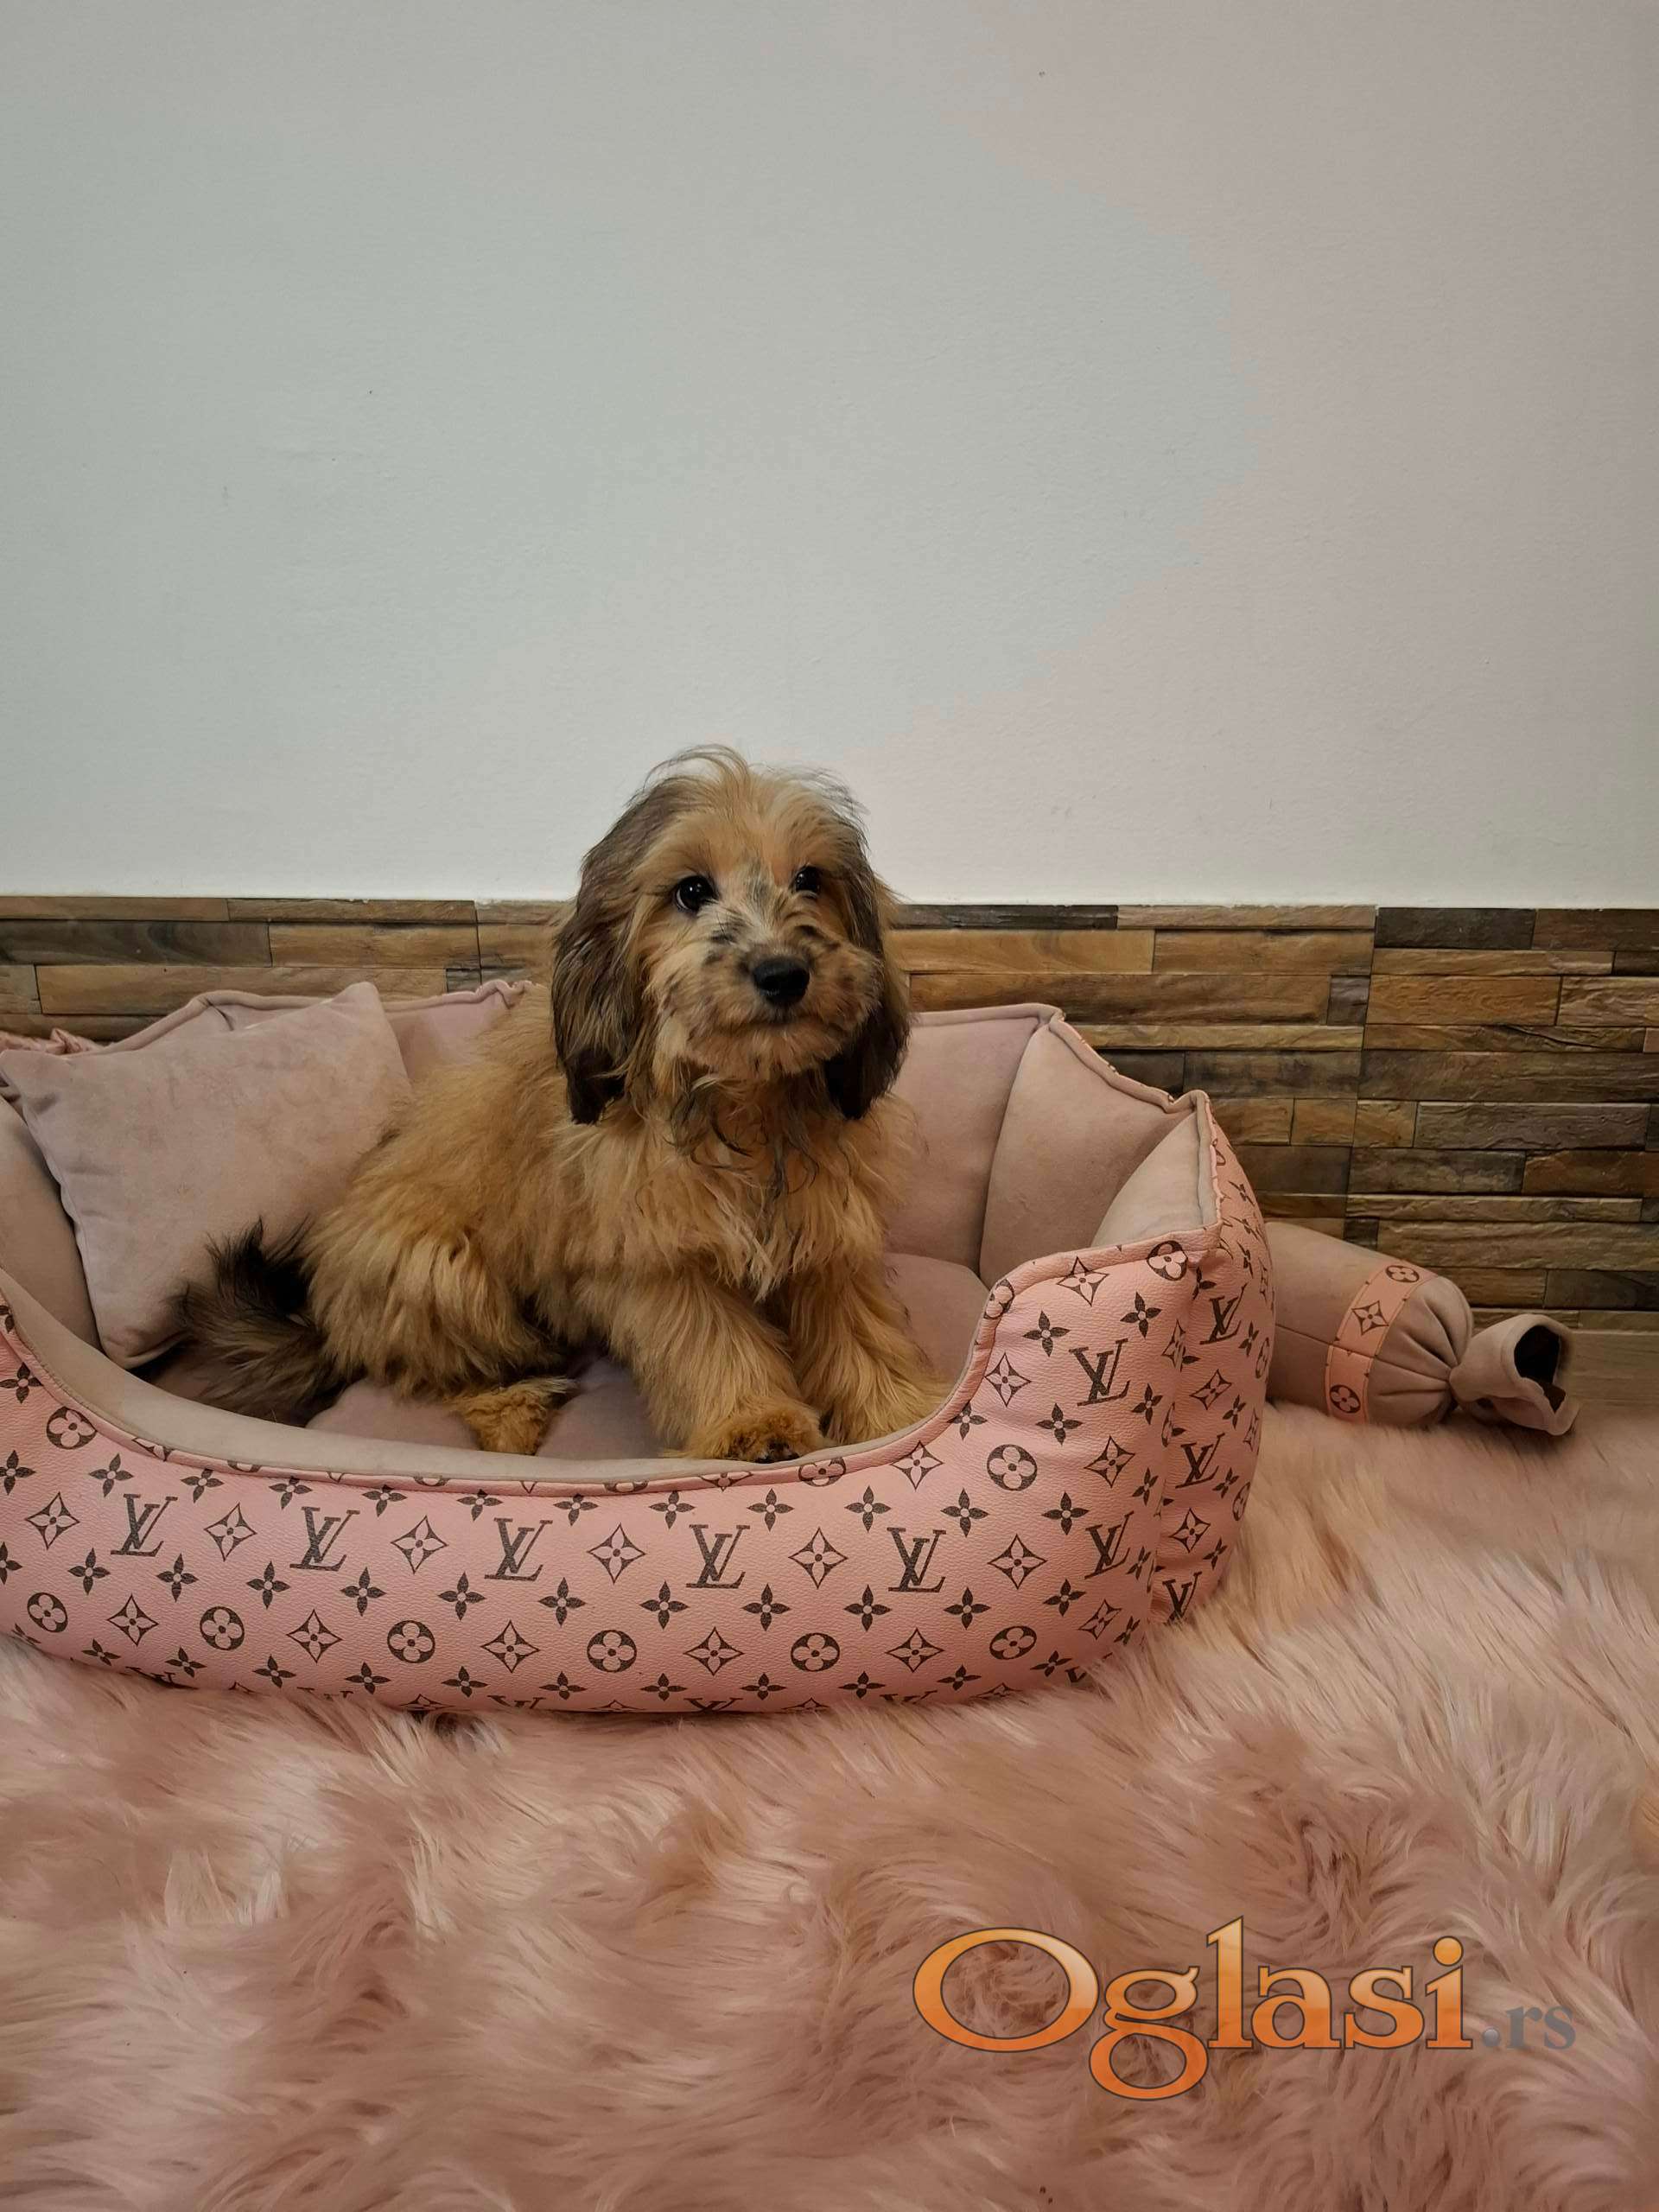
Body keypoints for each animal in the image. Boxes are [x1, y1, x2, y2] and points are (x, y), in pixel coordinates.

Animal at [184, 750, 946, 1461]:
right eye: (691, 891)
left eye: (810, 879)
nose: (783, 973)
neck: (740, 1103)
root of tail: (324, 1321)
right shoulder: (656, 1256)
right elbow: (709, 1341)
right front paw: (752, 1424)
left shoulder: (826, 1224)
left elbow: (854, 1325)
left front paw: (897, 1414)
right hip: (441, 1273)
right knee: (452, 1372)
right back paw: (512, 1412)